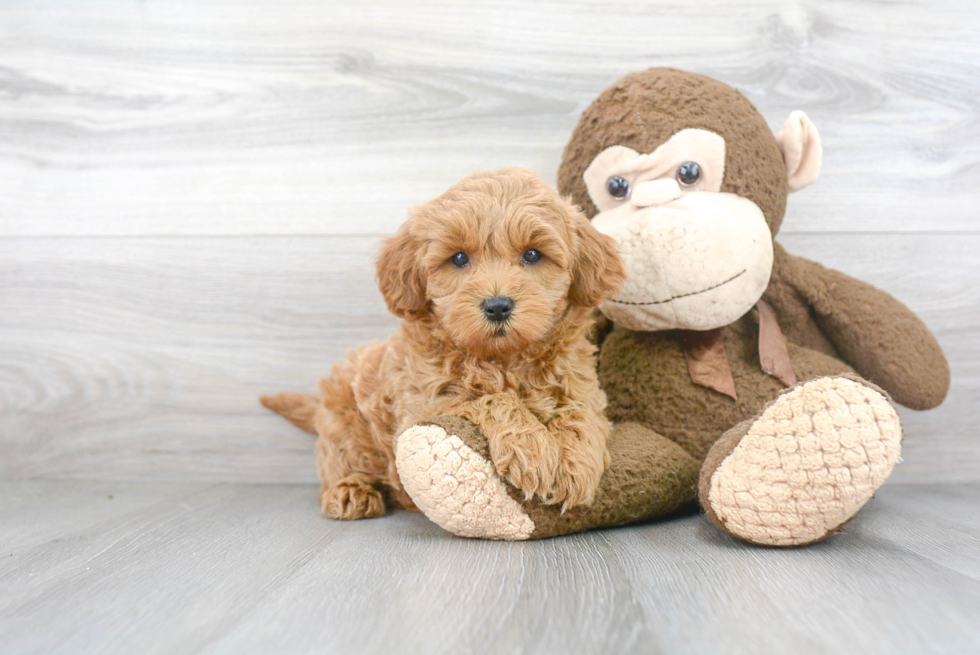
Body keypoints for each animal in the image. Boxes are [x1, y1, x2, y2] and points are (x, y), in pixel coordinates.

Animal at [264, 169, 624, 524]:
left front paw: (576, 463)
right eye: (459, 258)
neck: (503, 359)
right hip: (344, 425)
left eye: (533, 255)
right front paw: (532, 449)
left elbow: (579, 412)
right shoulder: (425, 404)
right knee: (337, 462)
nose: (497, 306)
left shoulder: (580, 383)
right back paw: (351, 490)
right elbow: (492, 399)